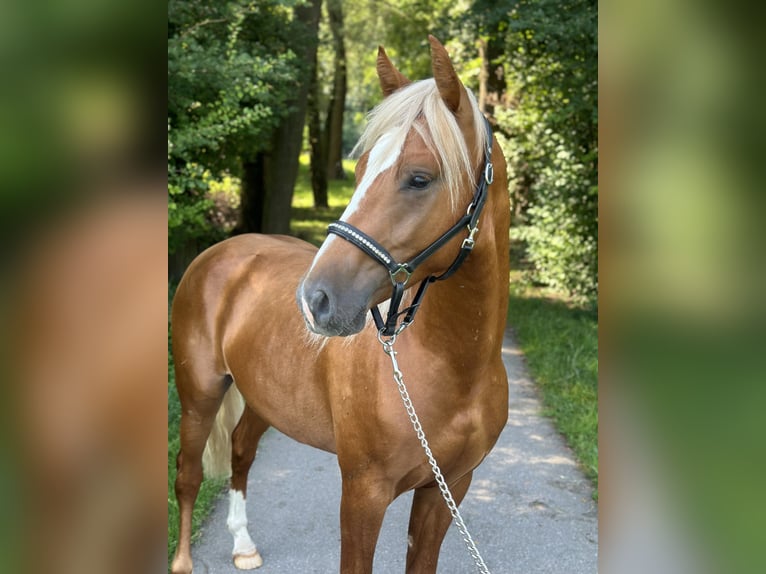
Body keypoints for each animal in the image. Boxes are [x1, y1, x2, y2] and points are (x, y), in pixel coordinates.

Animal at [171, 36, 512, 574]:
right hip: (199, 395)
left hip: (262, 397)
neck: (455, 369)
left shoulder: (447, 490)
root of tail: (218, 253)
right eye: (360, 169)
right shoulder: (363, 495)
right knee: (187, 475)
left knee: (240, 453)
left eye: (420, 178)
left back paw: (243, 545)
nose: (315, 300)